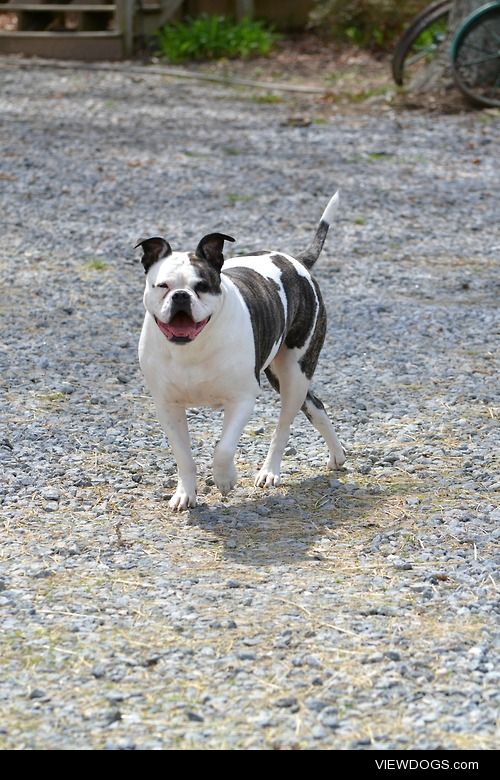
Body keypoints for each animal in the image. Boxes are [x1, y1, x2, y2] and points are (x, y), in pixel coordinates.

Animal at [139, 193, 346, 512]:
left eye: (203, 286)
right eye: (162, 285)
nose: (181, 296)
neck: (192, 349)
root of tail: (296, 261)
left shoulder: (242, 399)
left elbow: (223, 448)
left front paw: (225, 480)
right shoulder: (168, 406)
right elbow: (183, 456)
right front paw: (185, 493)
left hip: (293, 373)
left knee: (284, 425)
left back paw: (269, 472)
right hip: (281, 375)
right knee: (316, 405)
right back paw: (337, 454)